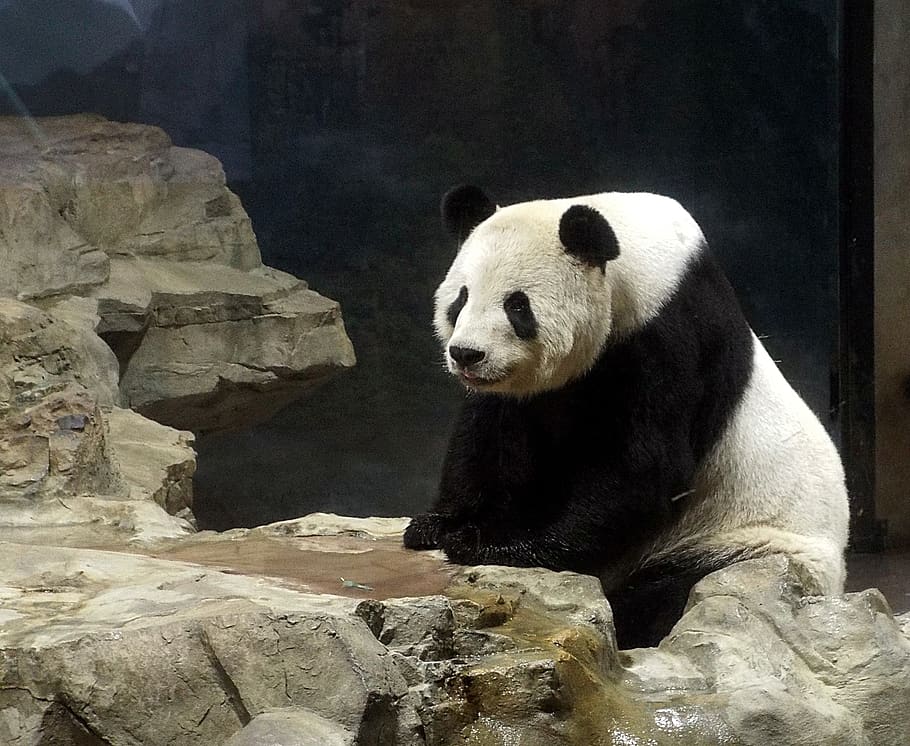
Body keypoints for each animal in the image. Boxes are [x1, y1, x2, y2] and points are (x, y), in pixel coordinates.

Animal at [404, 185, 850, 648]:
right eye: (460, 299)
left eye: (517, 306)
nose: (466, 354)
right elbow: (493, 436)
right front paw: (440, 525)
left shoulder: (667, 337)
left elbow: (639, 470)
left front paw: (495, 545)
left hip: (750, 545)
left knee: (671, 591)